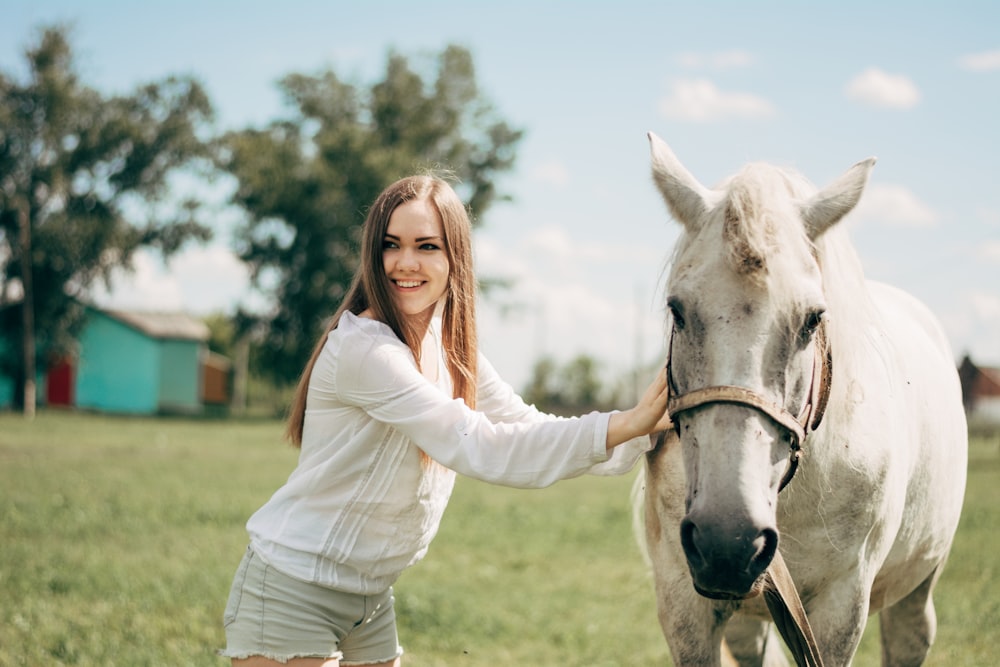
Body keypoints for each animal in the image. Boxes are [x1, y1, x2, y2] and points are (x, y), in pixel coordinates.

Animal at [640, 133, 968, 664]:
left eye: (812, 319)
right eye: (677, 310)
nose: (728, 542)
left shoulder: (840, 608)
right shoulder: (683, 604)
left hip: (918, 588)